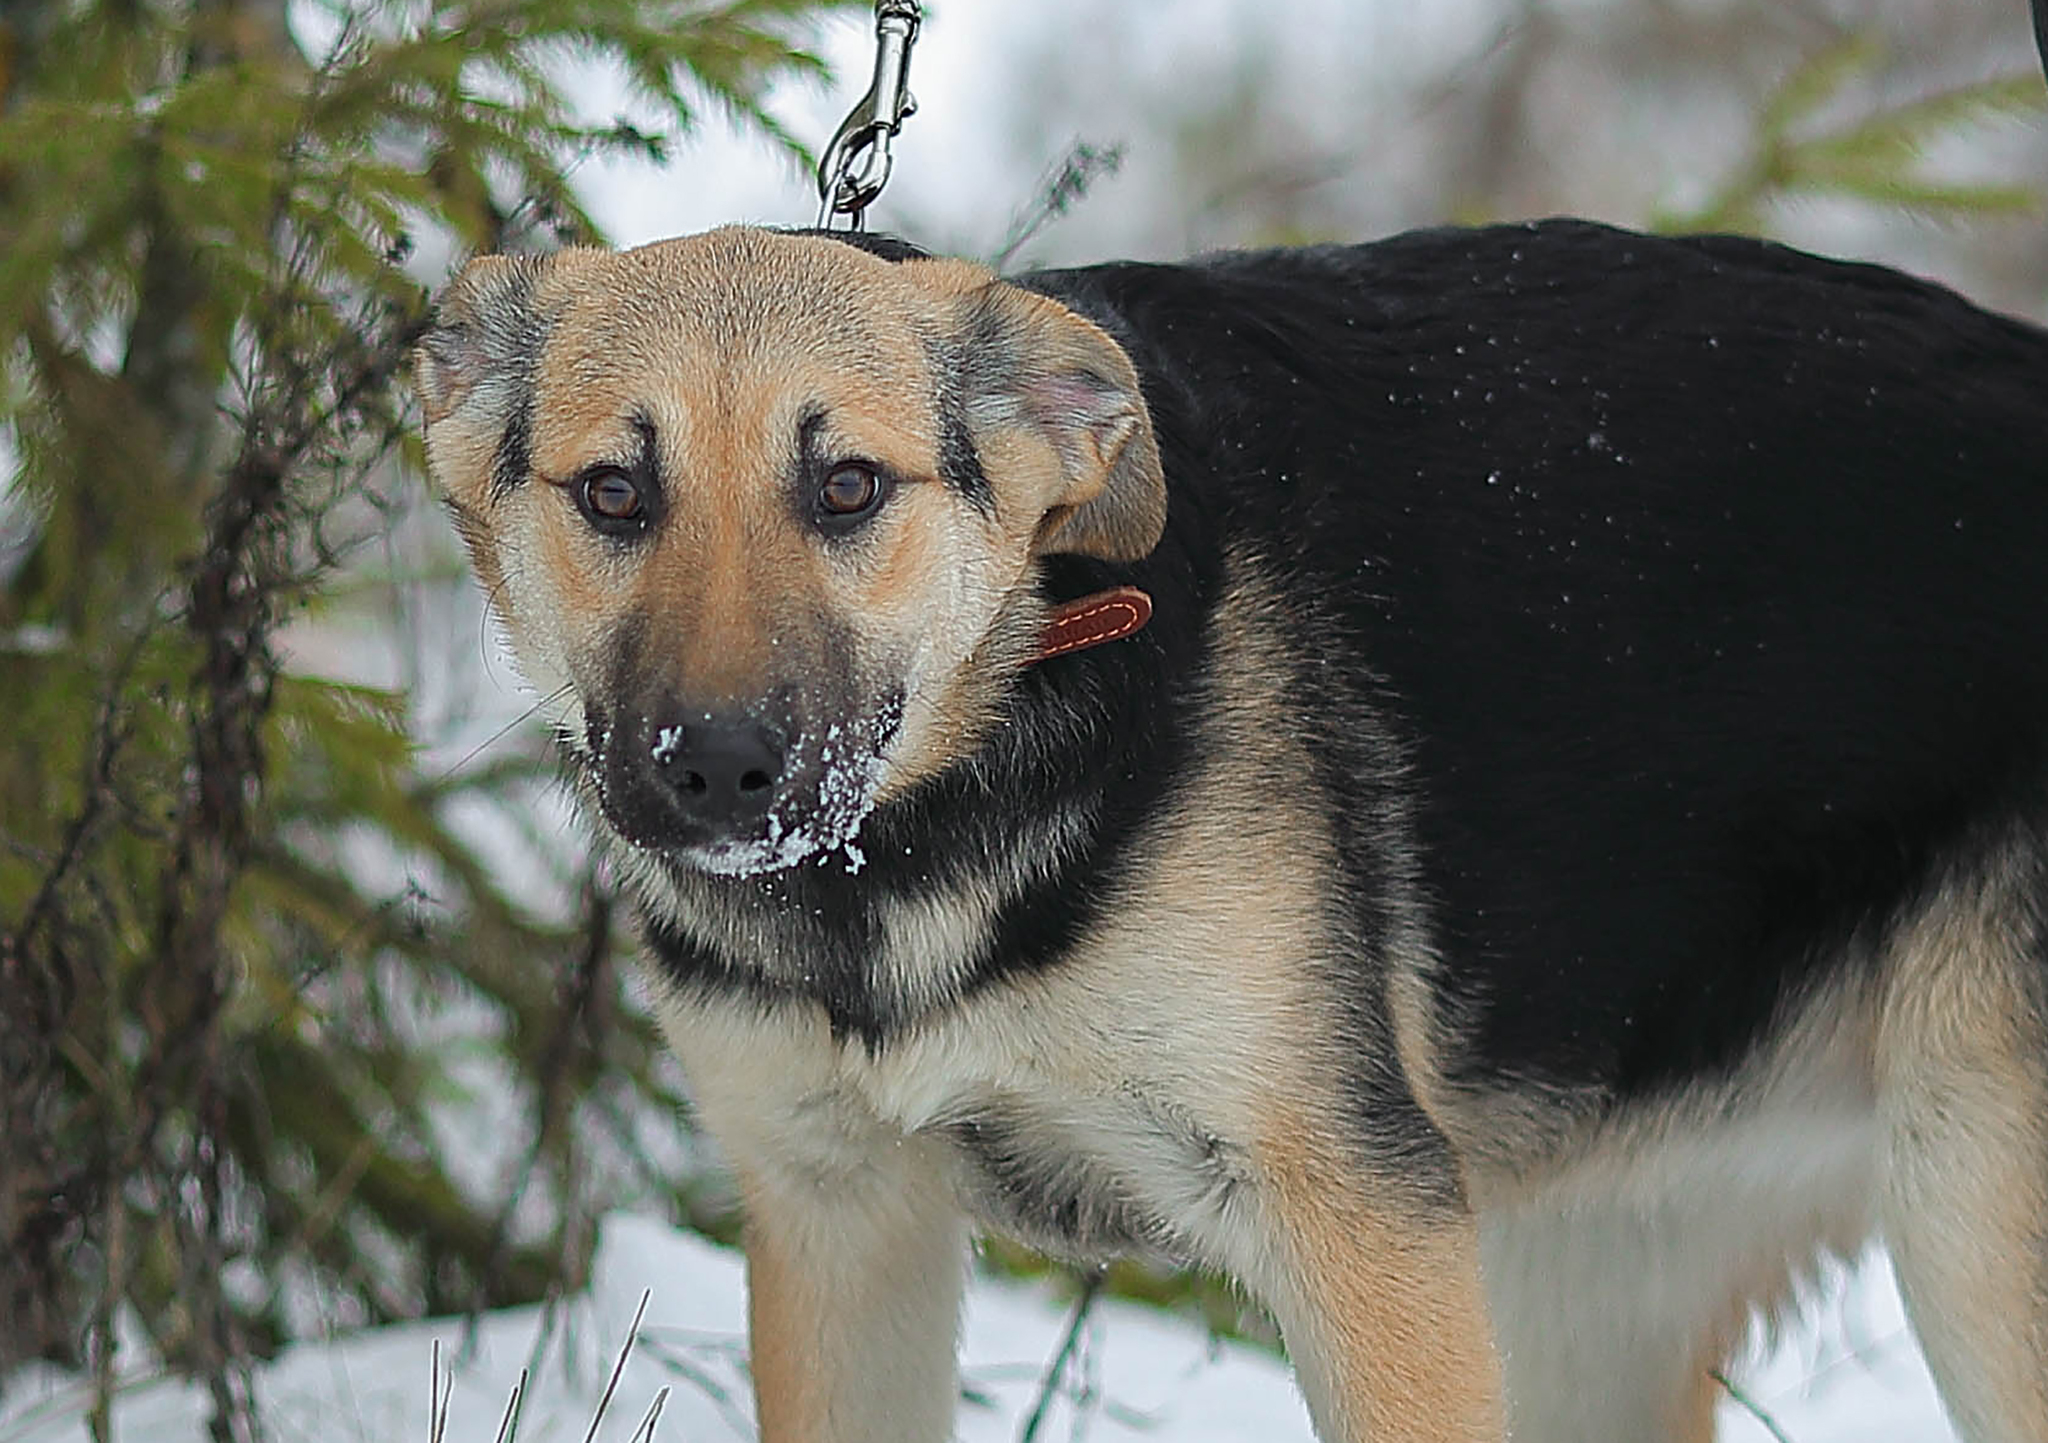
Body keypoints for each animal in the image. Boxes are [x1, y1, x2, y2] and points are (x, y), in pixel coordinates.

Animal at [411, 202, 2048, 1440]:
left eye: (849, 485)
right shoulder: (839, 1218)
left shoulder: (1357, 1224)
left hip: (1967, 1236)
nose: (717, 769)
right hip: (1592, 1290)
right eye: (615, 492)